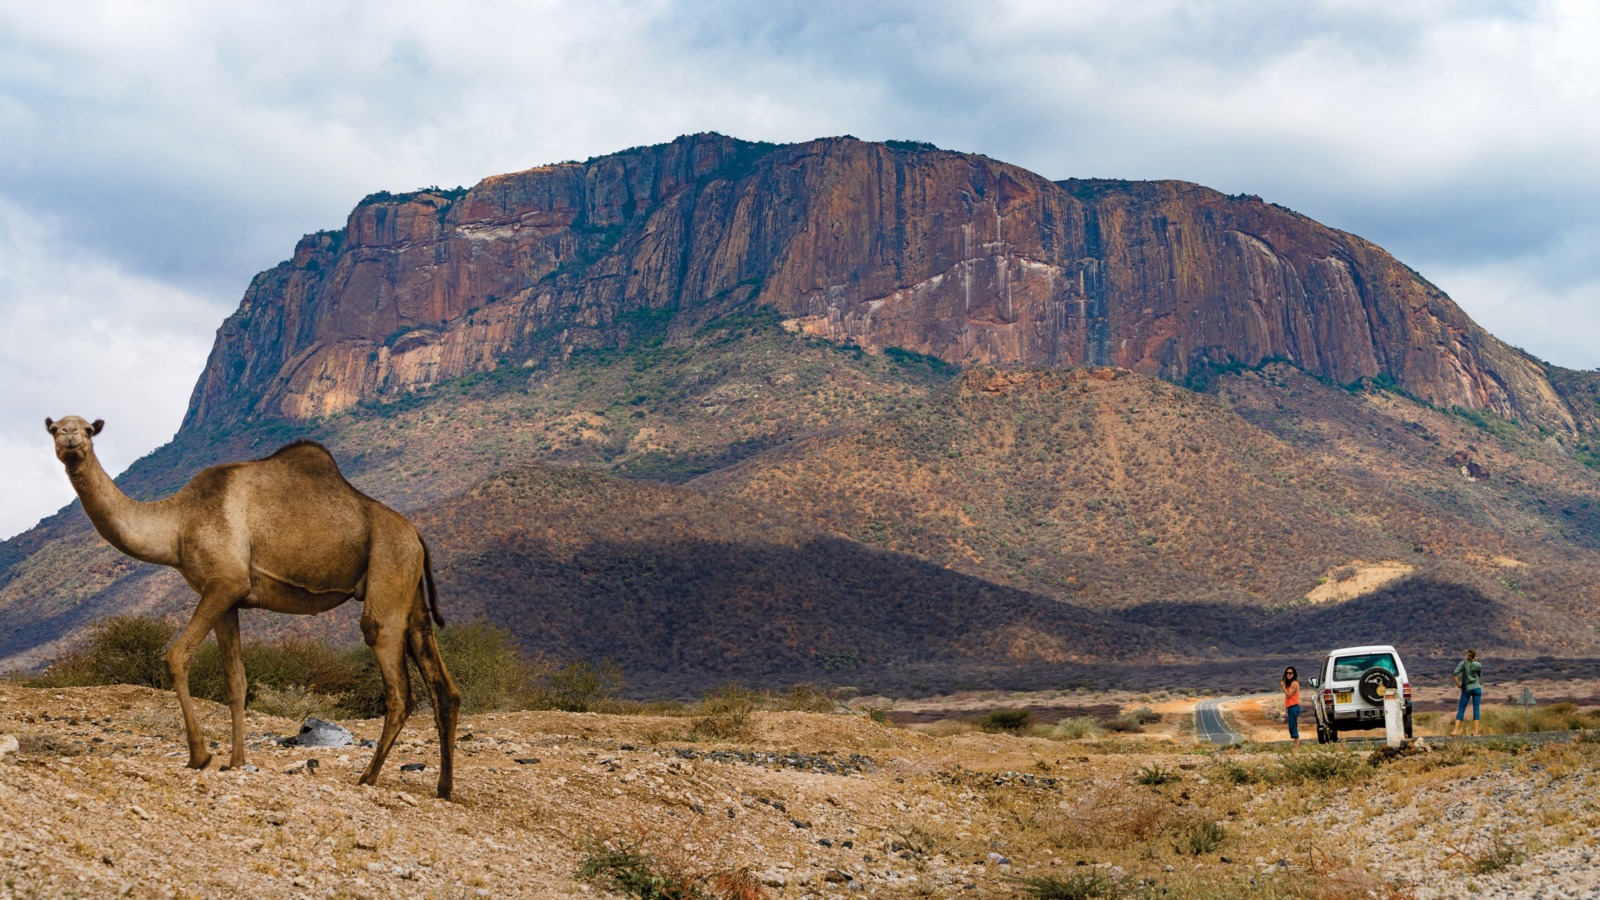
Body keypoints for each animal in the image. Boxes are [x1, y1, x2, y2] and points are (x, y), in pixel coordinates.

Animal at [46, 413, 460, 791]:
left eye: (87, 429)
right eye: (55, 429)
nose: (70, 438)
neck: (177, 523)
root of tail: (416, 535)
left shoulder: (225, 582)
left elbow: (176, 656)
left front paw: (200, 755)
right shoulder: (227, 597)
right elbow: (236, 681)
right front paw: (235, 761)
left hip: (390, 562)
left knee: (394, 675)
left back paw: (368, 776)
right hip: (410, 585)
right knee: (438, 675)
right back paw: (444, 787)